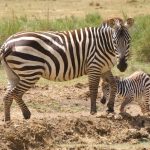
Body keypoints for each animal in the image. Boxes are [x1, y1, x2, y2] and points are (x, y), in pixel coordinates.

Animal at [0, 17, 134, 121]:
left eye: (129, 41)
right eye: (115, 41)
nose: (122, 66)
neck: (104, 45)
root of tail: (7, 43)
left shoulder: (104, 68)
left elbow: (113, 84)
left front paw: (110, 107)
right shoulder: (94, 66)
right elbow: (93, 89)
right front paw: (93, 111)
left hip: (13, 74)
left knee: (7, 95)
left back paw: (8, 120)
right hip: (30, 71)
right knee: (16, 93)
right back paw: (25, 114)